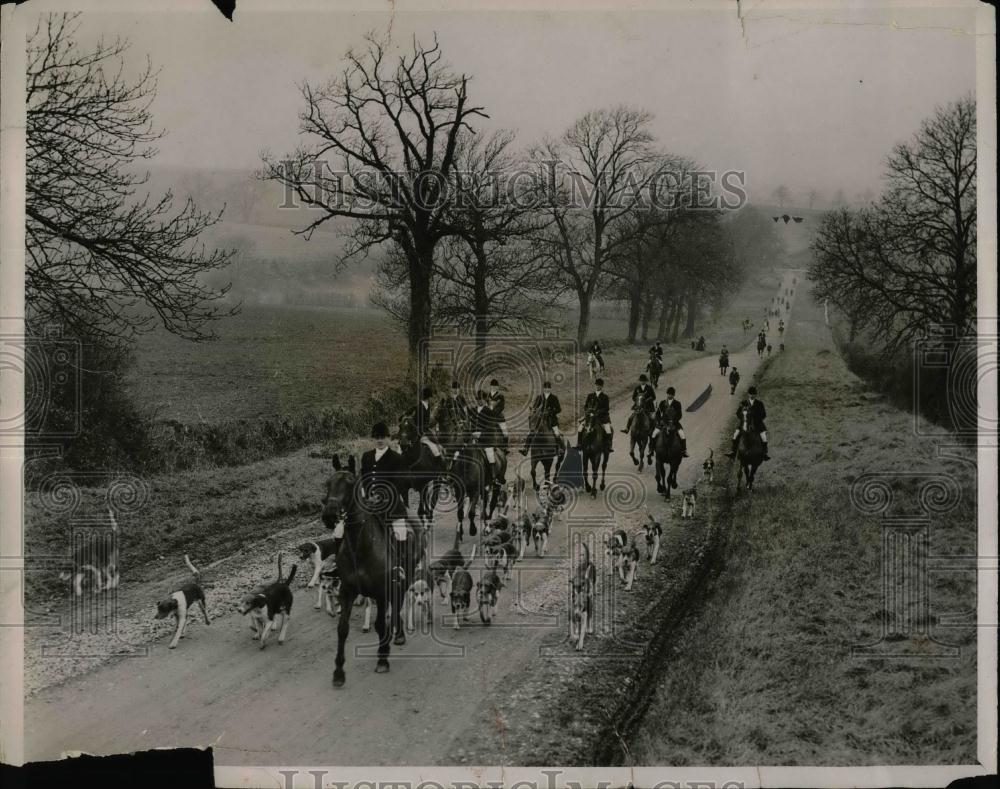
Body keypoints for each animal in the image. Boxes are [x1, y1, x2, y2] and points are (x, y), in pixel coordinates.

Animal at [324, 452, 426, 688]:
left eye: (350, 484)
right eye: (328, 484)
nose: (330, 515)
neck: (360, 545)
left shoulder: (380, 591)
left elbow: (380, 624)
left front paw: (382, 658)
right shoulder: (347, 590)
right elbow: (342, 629)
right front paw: (338, 672)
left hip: (405, 575)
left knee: (398, 602)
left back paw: (398, 635)